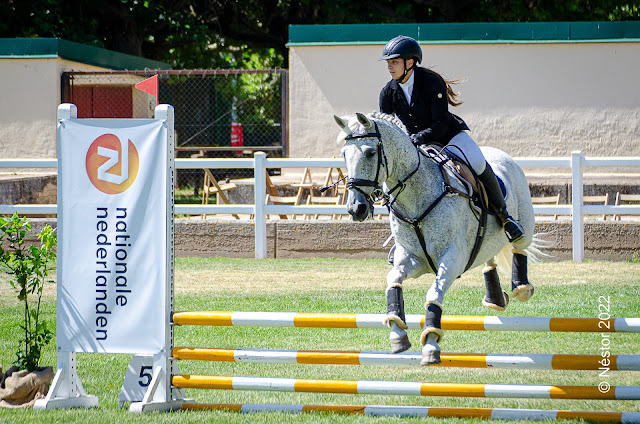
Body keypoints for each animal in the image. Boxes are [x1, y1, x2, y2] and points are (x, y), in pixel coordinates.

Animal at [338, 112, 536, 364]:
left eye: (370, 152)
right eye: (345, 154)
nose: (356, 208)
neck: (416, 198)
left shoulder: (452, 259)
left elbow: (434, 293)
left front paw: (431, 344)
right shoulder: (413, 259)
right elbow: (393, 280)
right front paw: (397, 333)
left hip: (524, 225)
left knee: (520, 246)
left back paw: (521, 288)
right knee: (489, 256)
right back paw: (495, 299)